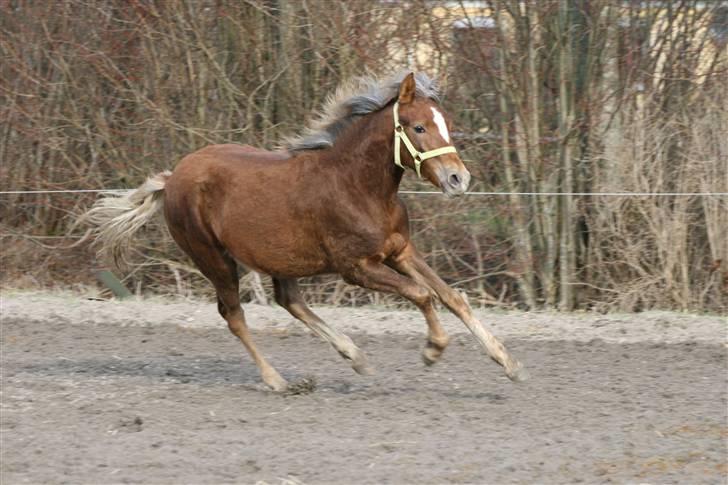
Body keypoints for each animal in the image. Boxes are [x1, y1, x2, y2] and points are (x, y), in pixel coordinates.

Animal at [85, 71, 528, 390]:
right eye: (418, 127)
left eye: (446, 123)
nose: (458, 179)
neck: (359, 186)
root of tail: (173, 177)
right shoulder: (357, 268)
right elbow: (422, 294)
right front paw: (433, 351)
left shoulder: (400, 250)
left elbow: (452, 297)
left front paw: (509, 363)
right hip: (214, 259)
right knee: (234, 314)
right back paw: (279, 381)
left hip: (278, 258)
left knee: (288, 300)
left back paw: (354, 357)